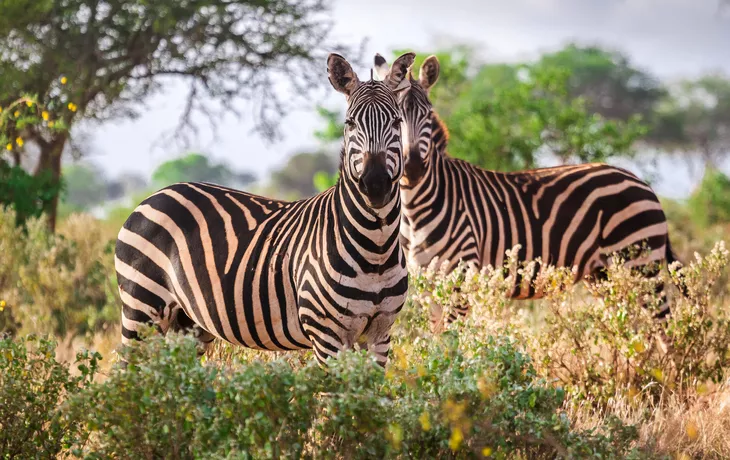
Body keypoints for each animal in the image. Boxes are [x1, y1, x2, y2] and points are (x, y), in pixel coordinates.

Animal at [114, 52, 416, 366]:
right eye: (350, 123)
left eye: (396, 121)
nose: (375, 184)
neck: (376, 248)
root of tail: (155, 195)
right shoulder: (327, 337)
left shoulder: (380, 333)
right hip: (141, 307)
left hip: (187, 322)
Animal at [374, 53, 686, 332]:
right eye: (396, 119)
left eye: (427, 115)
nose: (413, 168)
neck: (415, 209)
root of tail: (642, 184)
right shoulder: (427, 285)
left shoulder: (461, 279)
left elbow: (449, 345)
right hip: (604, 275)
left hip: (639, 265)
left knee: (664, 330)